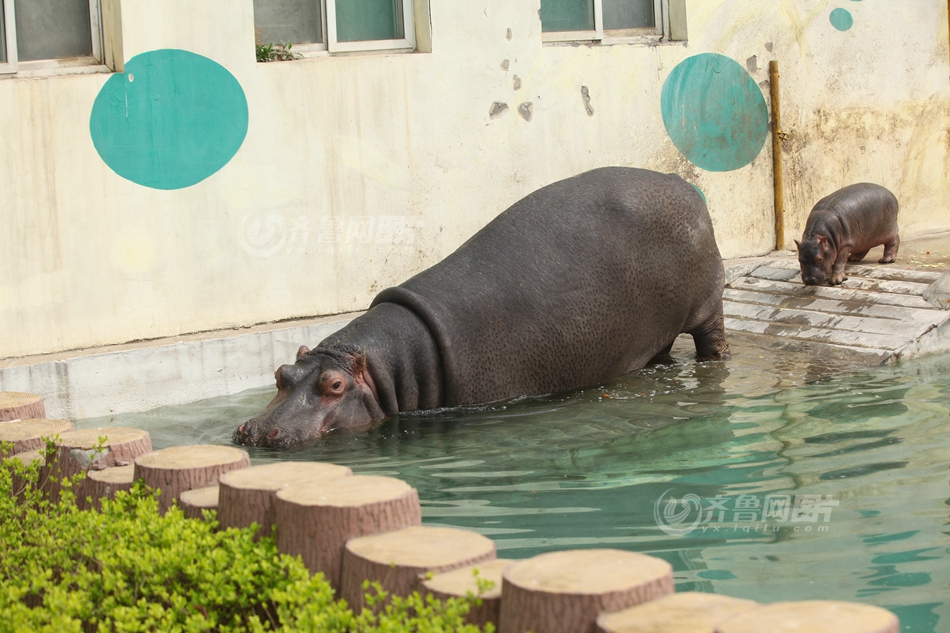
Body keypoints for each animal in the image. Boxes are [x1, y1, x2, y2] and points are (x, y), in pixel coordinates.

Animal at [234, 165, 732, 446]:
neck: (378, 369)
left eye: (335, 386)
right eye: (280, 374)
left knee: (713, 341)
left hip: (708, 307)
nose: (257, 433)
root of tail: (680, 182)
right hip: (654, 332)